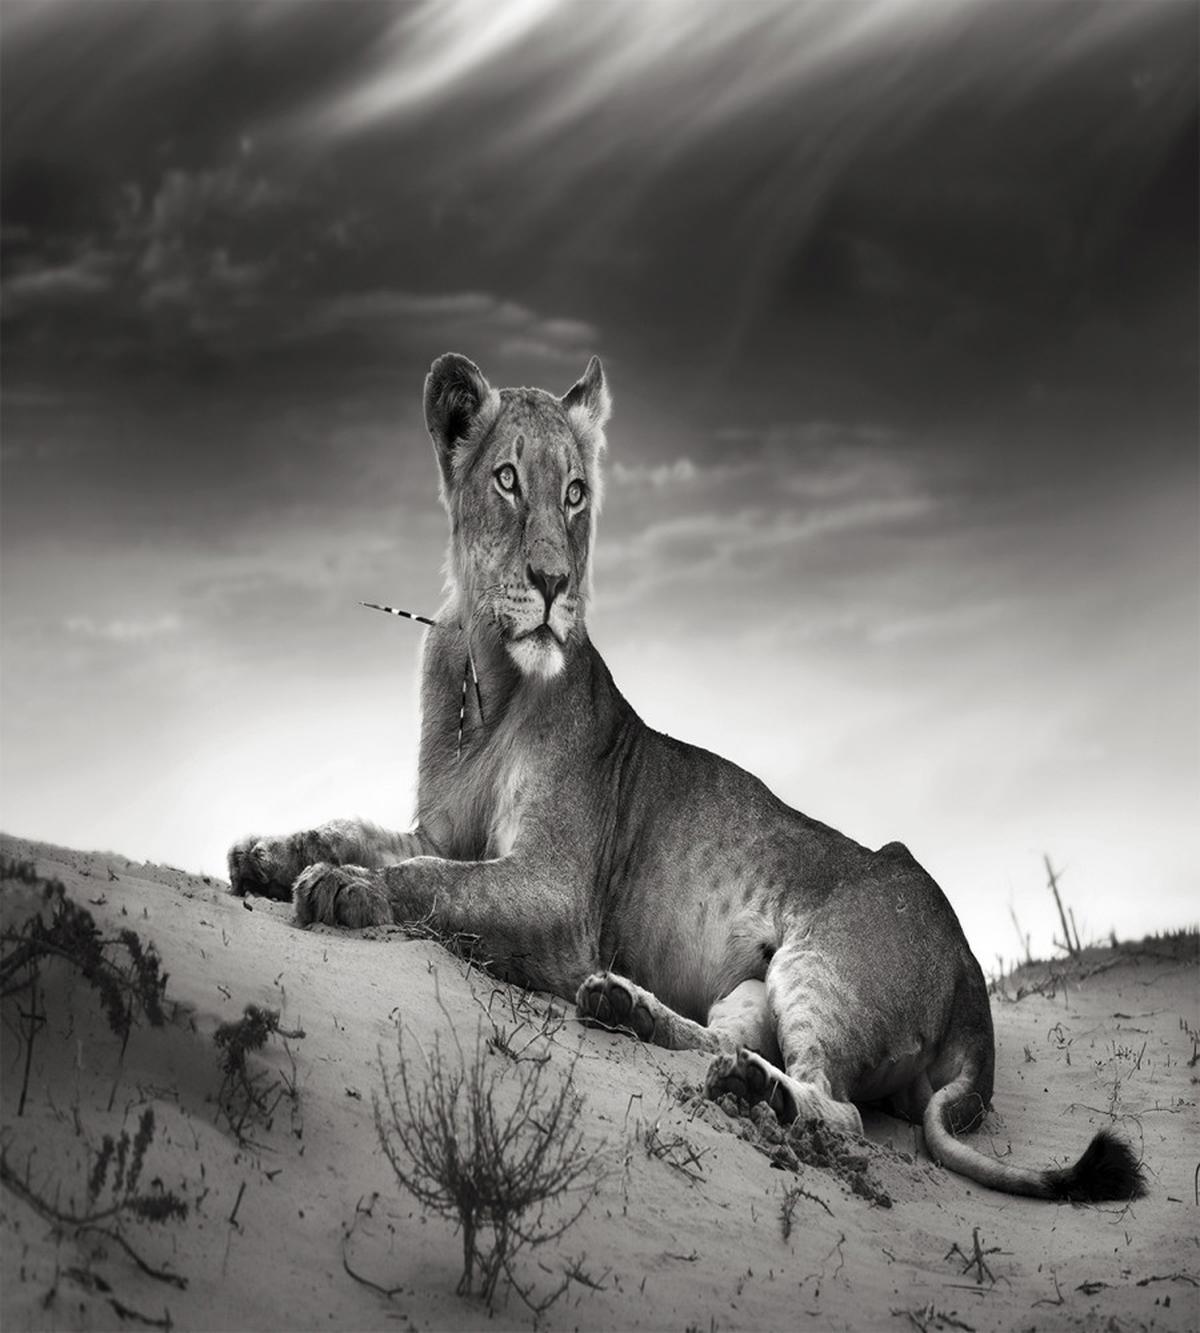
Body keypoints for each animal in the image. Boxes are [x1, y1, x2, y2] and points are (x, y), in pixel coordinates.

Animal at [230, 352, 1143, 1202]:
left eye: (575, 494)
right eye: (507, 479)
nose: (554, 583)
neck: (485, 674)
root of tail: (971, 979)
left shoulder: (558, 891)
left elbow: (432, 882)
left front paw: (345, 888)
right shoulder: (440, 828)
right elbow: (359, 830)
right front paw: (269, 853)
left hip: (822, 965)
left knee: (839, 1108)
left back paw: (751, 1088)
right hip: (753, 986)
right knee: (727, 1037)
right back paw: (627, 1008)